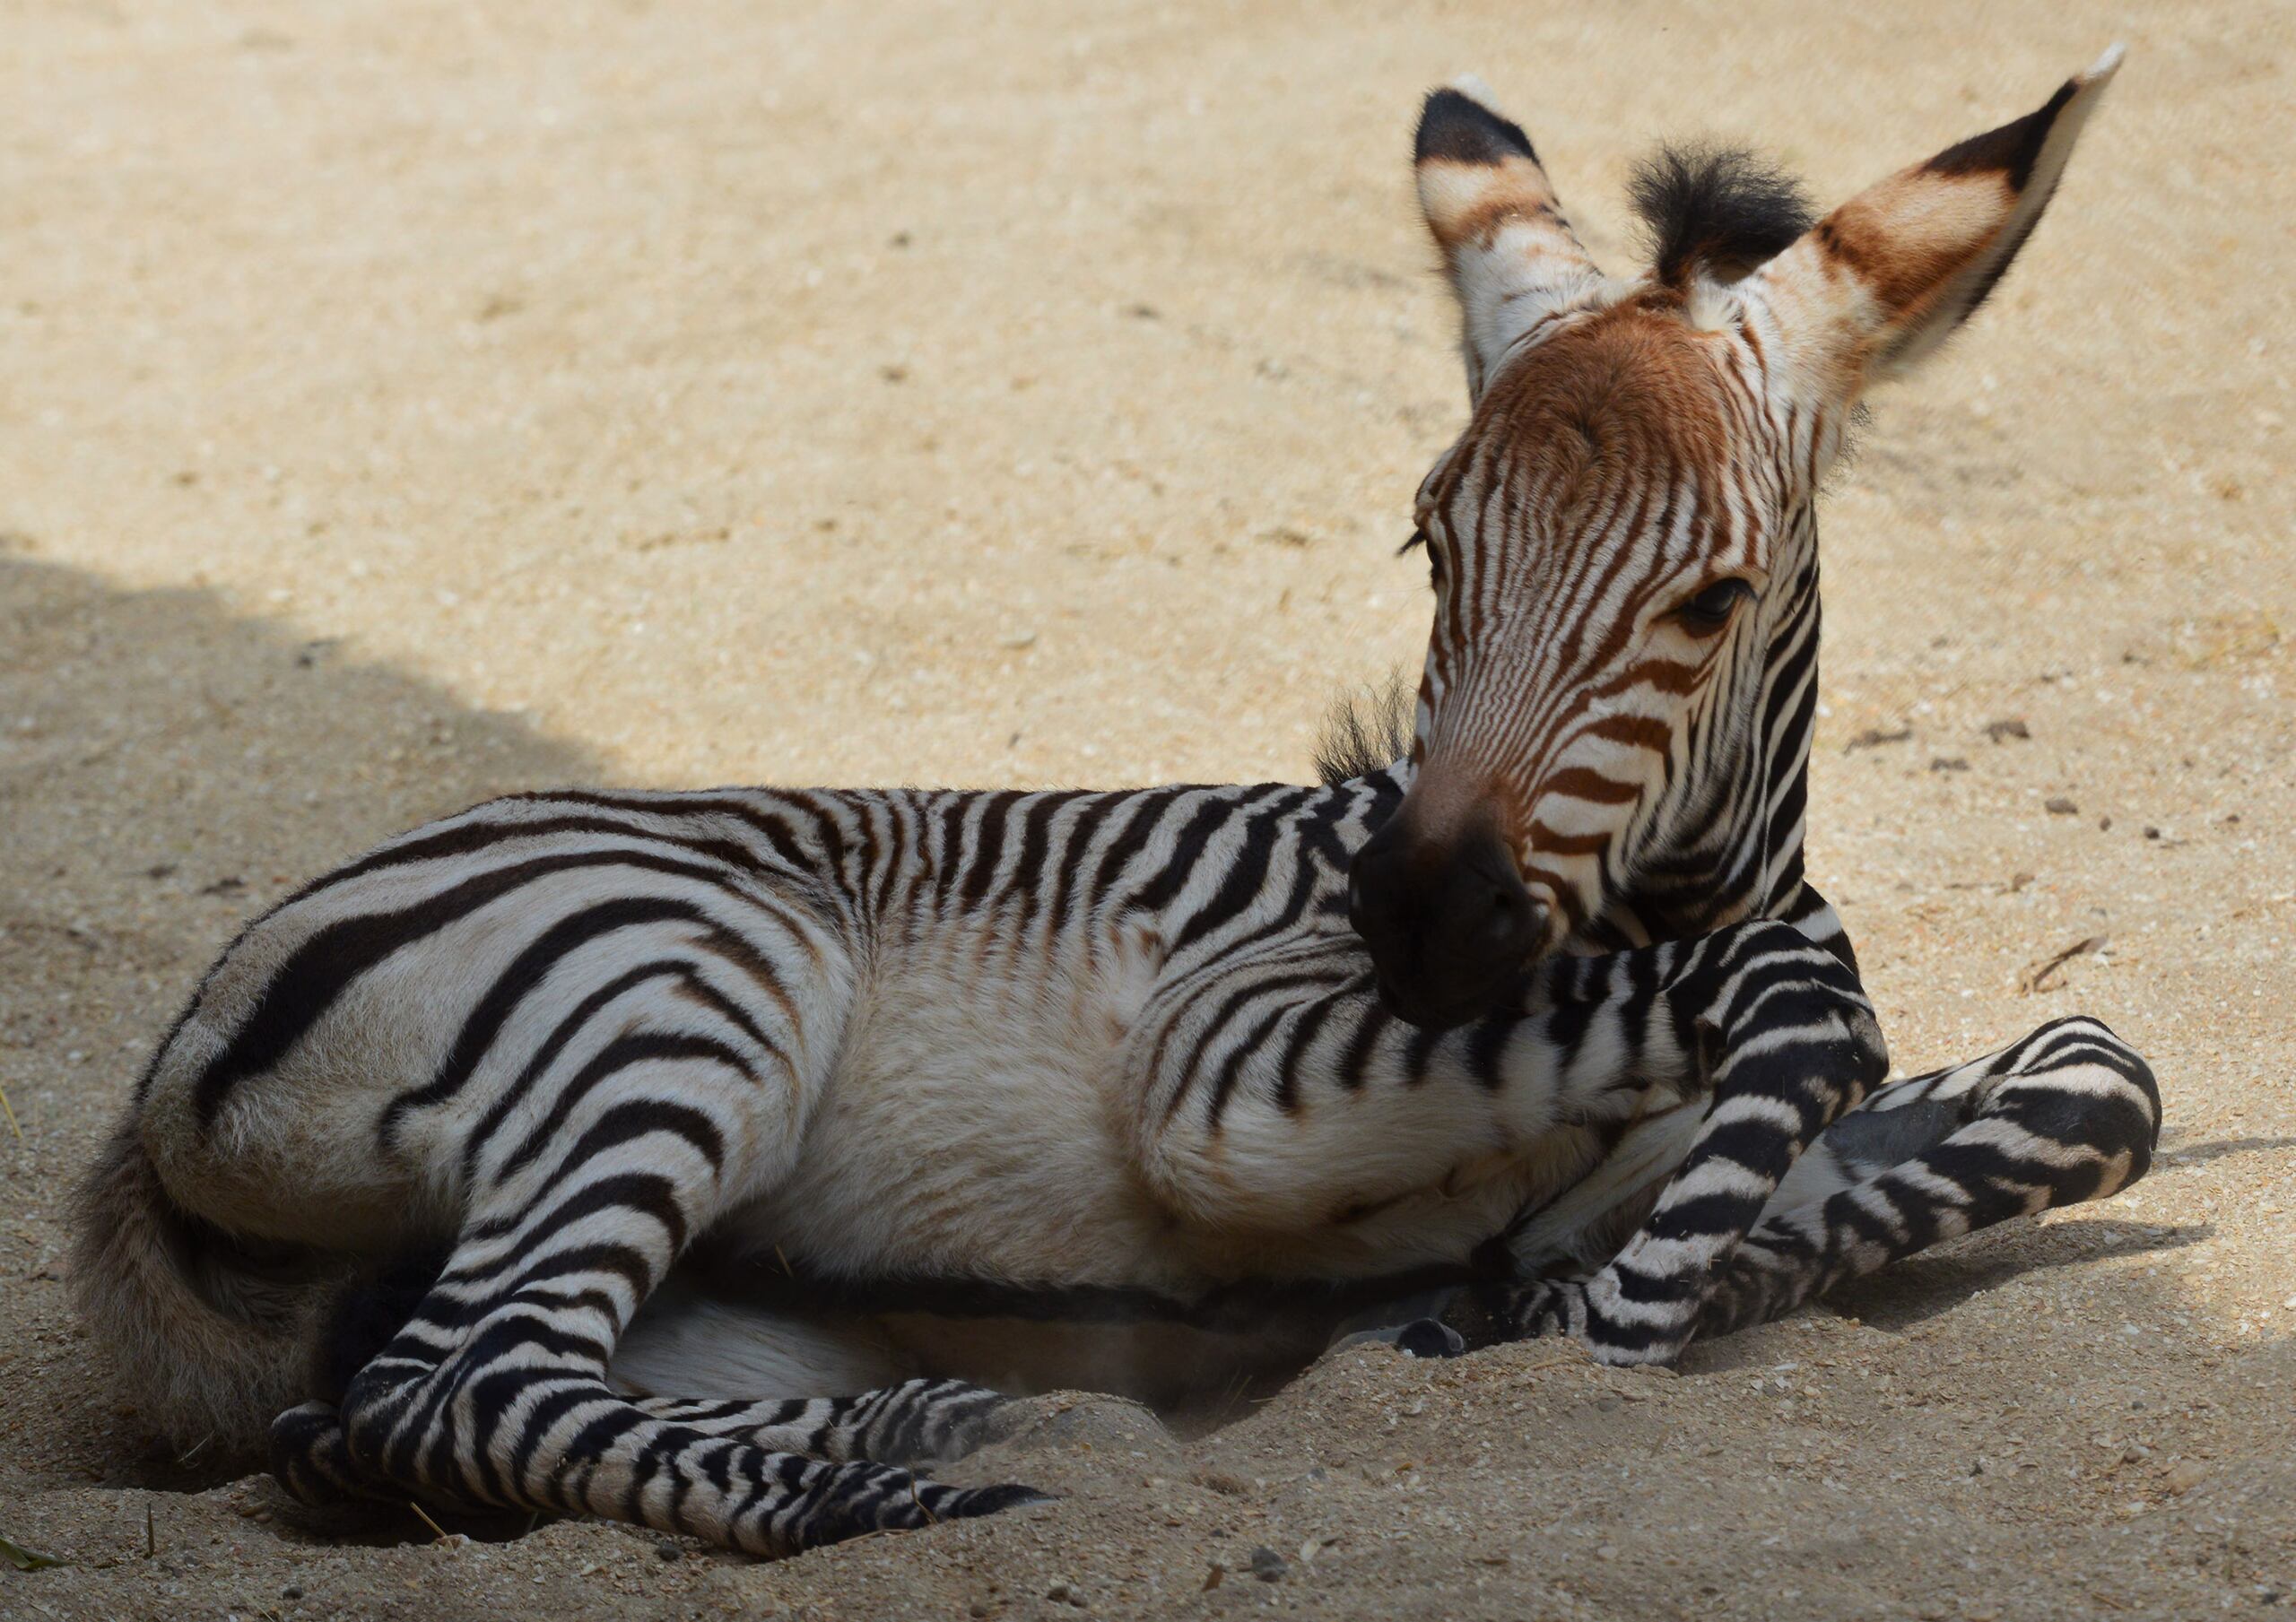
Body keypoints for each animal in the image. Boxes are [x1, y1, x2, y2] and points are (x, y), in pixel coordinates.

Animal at [66, 54, 2149, 1559]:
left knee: (359, 1416)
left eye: (1707, 601)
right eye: (1431, 542)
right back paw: (896, 1478)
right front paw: (1580, 1312)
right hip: (687, 981)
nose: (1416, 922)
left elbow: (2091, 1074)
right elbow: (1806, 986)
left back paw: (937, 1411)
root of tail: (171, 1059)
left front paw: (1593, 1280)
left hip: (697, 1245)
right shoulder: (1216, 1072)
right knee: (460, 1385)